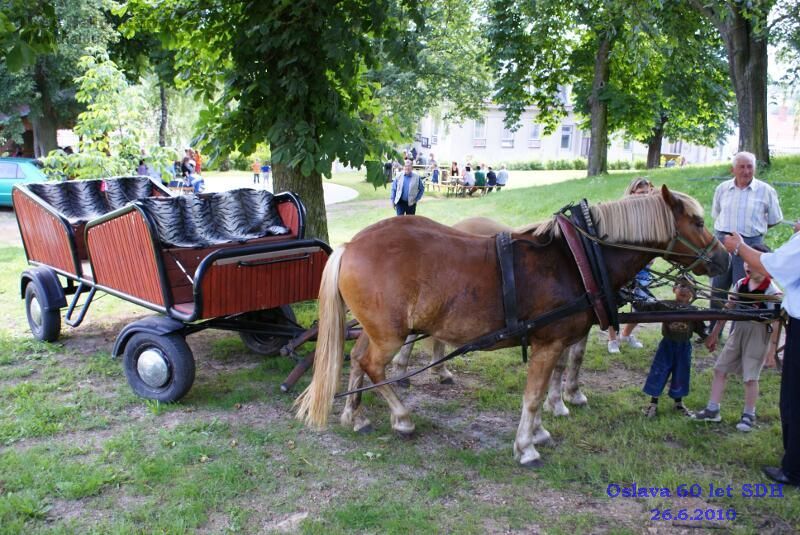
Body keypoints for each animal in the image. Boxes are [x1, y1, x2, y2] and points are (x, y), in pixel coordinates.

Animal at [296, 187, 728, 464]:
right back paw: (401, 418)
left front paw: (539, 430)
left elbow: (549, 386)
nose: (724, 258)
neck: (577, 258)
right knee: (372, 365)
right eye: (697, 220)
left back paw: (355, 415)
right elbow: (533, 396)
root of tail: (352, 245)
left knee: (357, 359)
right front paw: (527, 446)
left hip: (379, 331)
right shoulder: (548, 342)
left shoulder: (558, 341)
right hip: (390, 335)